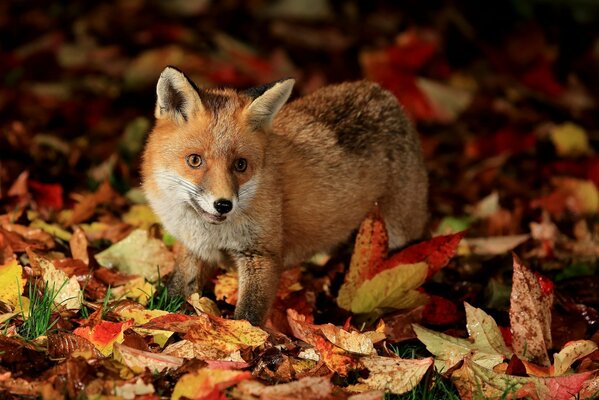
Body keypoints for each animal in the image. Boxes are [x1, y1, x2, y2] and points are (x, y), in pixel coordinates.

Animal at [142, 67, 428, 326]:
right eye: (195, 160)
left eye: (240, 165)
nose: (223, 205)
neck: (212, 233)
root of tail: (384, 94)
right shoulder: (194, 249)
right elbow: (175, 290)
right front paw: (159, 315)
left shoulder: (262, 255)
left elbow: (249, 316)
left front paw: (246, 342)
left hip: (399, 235)